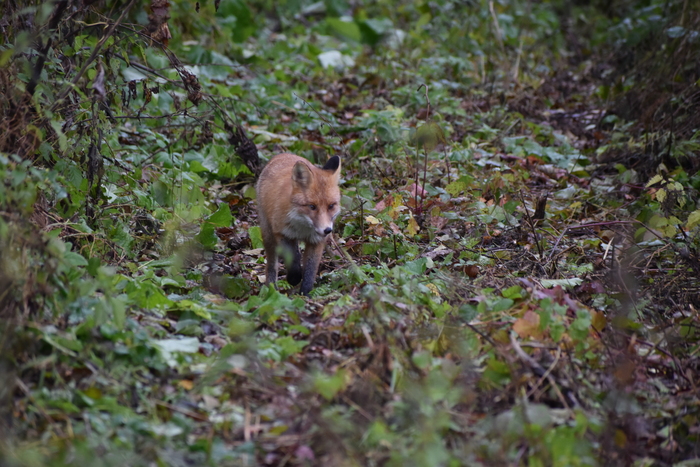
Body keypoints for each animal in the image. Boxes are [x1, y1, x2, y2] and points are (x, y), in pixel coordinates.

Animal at [256, 153, 342, 295]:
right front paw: (294, 278)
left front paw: (306, 293)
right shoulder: (281, 233)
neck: (304, 227)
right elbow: (292, 259)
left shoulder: (316, 241)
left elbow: (310, 270)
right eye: (312, 207)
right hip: (268, 234)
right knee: (272, 265)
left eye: (331, 206)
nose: (327, 230)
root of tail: (283, 154)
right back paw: (271, 288)